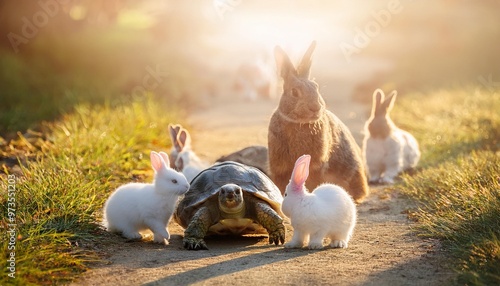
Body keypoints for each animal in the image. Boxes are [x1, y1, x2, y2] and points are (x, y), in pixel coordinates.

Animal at [268, 42, 370, 203]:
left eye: (316, 87)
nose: (315, 107)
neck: (300, 123)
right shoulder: (280, 168)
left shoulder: (316, 166)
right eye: (294, 92)